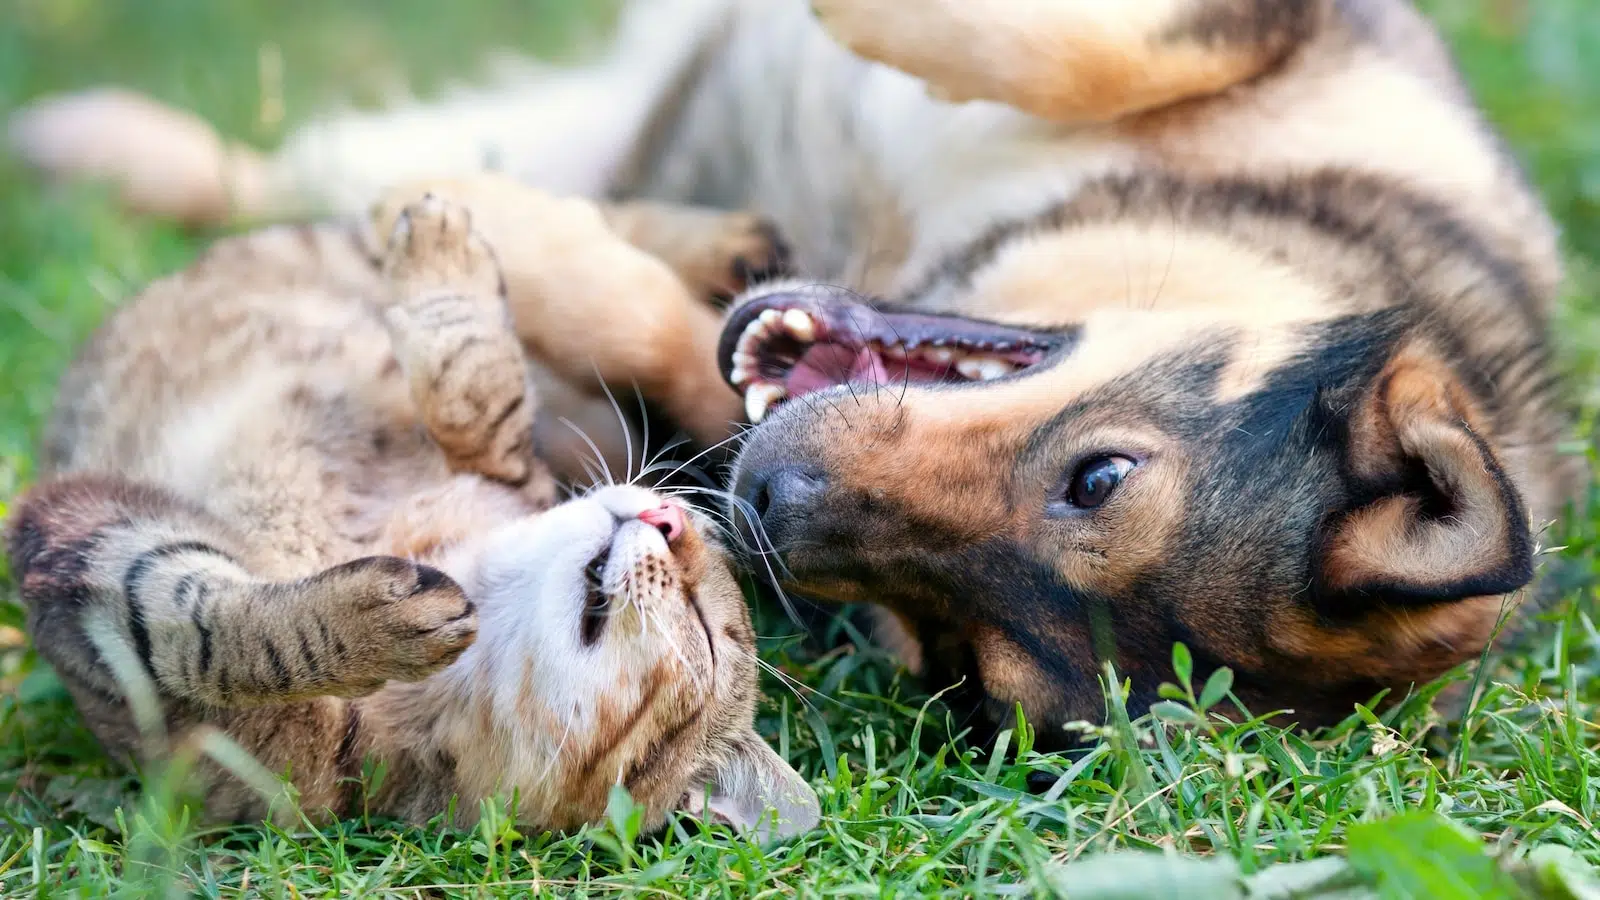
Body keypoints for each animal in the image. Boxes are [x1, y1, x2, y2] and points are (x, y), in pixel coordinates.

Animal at [9, 0, 1587, 743]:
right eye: (1100, 475)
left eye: (961, 656)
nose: (764, 508)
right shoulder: (1292, 32)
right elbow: (1095, 43)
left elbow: (661, 336)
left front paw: (522, 240)